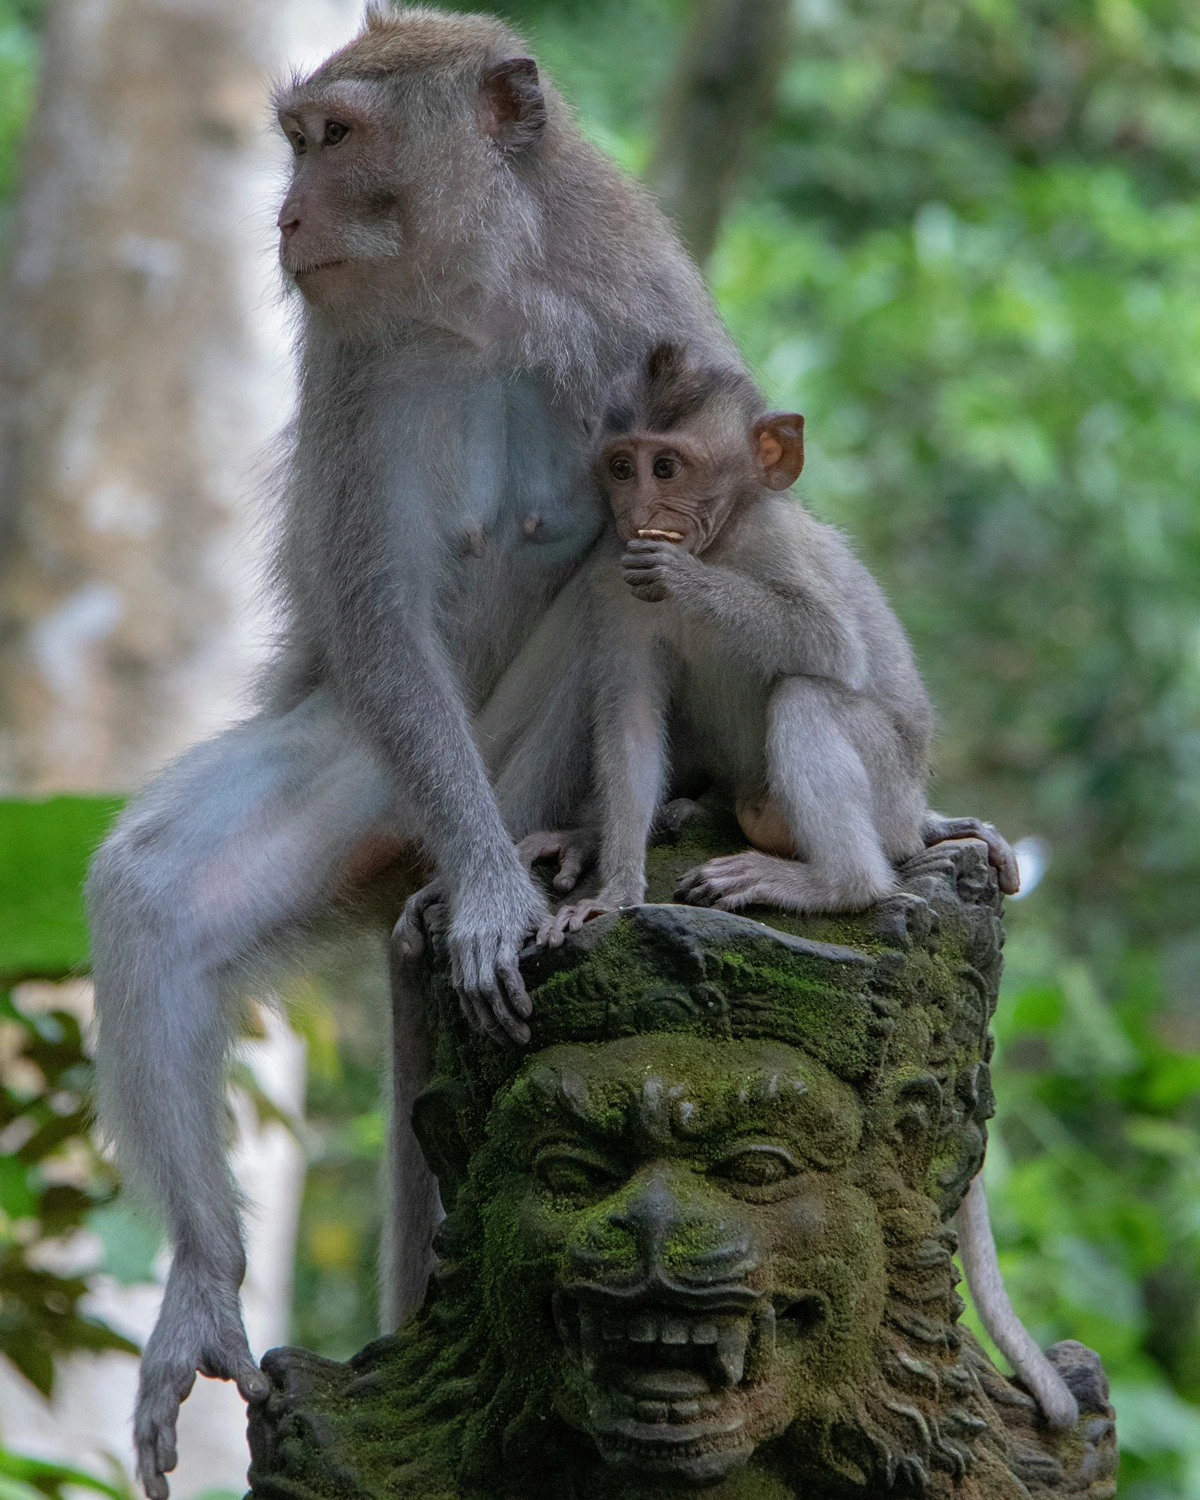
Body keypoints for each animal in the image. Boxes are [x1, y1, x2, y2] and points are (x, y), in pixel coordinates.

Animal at [84, 15, 740, 1494]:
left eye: (334, 140)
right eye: (296, 144)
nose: (285, 216)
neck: (479, 294)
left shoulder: (641, 306)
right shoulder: (349, 356)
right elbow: (379, 602)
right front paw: (496, 897)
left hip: (504, 758)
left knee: (608, 597)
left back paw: (563, 850)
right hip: (391, 774)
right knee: (154, 893)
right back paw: (206, 1277)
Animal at [522, 344, 1077, 1430]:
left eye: (670, 466)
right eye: (623, 464)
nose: (639, 509)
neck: (727, 531)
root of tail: (912, 821)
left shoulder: (776, 545)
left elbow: (826, 645)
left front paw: (689, 579)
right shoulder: (610, 579)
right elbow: (630, 715)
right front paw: (613, 882)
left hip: (888, 787)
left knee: (811, 694)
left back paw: (829, 880)